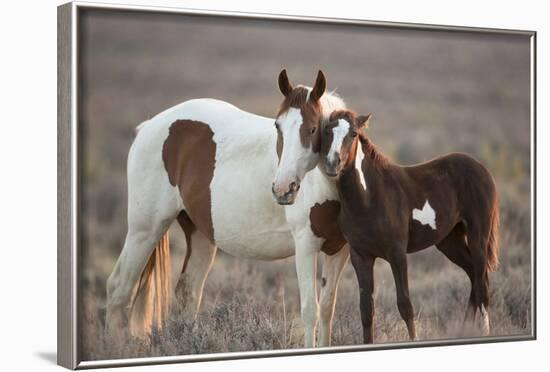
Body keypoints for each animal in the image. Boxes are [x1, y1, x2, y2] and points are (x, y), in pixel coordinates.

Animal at [104, 70, 350, 348]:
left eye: (313, 128)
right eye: (278, 126)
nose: (282, 189)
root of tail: (148, 127)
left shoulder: (339, 250)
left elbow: (327, 309)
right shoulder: (306, 246)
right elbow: (311, 310)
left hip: (199, 235)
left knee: (188, 292)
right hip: (144, 231)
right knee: (119, 288)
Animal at [324, 109, 500, 342]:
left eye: (353, 134)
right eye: (327, 130)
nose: (332, 164)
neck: (369, 198)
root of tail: (481, 168)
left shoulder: (397, 254)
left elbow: (405, 305)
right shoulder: (361, 257)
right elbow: (366, 310)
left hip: (478, 236)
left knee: (483, 285)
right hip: (449, 241)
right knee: (473, 275)